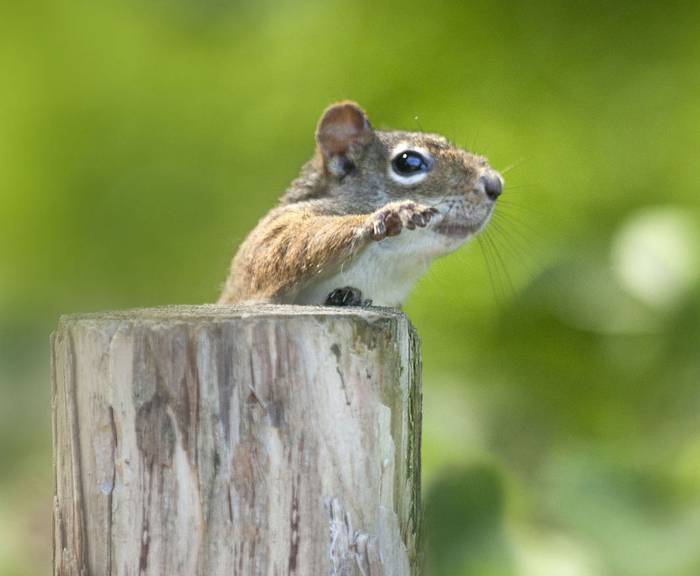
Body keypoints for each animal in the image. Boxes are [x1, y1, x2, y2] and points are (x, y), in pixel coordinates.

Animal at [219, 100, 504, 306]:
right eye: (409, 162)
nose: (495, 184)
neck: (381, 269)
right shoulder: (274, 228)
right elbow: (280, 246)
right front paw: (387, 215)